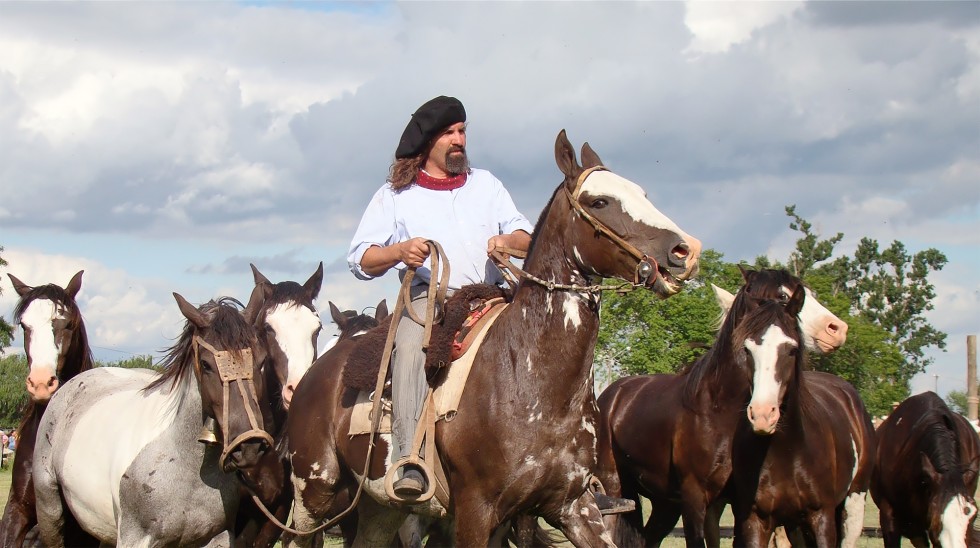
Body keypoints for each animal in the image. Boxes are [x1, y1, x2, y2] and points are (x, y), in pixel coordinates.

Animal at [33, 288, 274, 544]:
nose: (249, 446)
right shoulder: (134, 538)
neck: (187, 470)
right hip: (50, 511)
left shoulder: (218, 537)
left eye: (260, 361)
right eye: (206, 364)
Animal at [284, 131, 704, 544]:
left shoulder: (573, 506)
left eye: (642, 193)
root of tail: (314, 375)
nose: (686, 250)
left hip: (381, 508)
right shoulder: (475, 508)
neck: (533, 381)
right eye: (599, 201)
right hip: (313, 494)